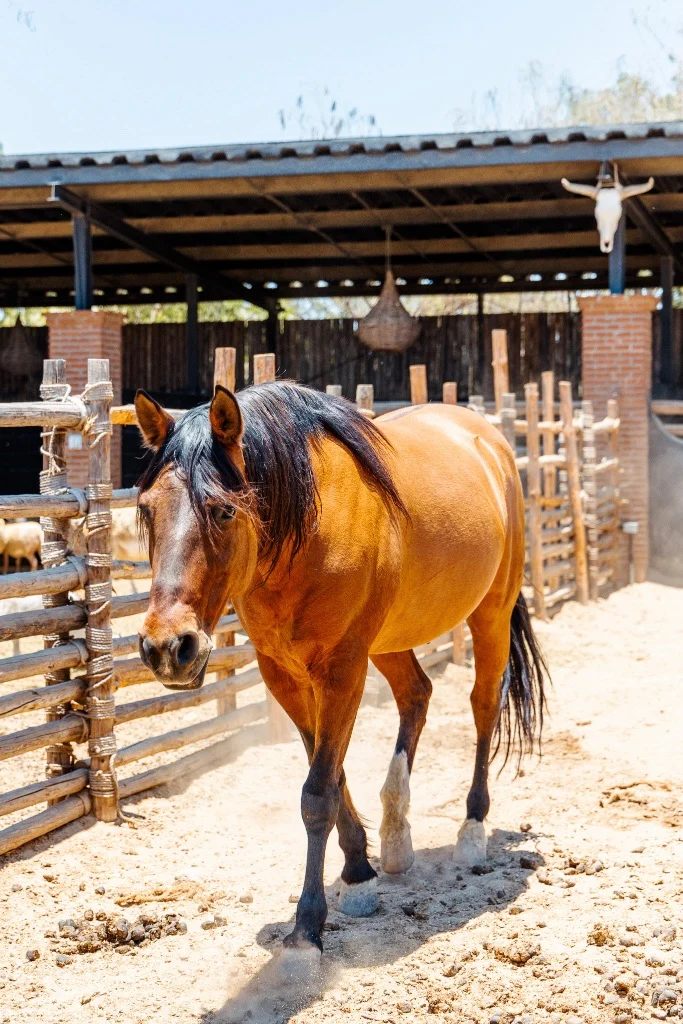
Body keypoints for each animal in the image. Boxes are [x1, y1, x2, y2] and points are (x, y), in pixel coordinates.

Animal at [134, 381, 547, 963]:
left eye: (223, 511)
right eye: (147, 510)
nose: (168, 647)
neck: (306, 533)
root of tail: (490, 439)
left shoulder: (342, 669)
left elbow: (317, 794)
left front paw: (308, 925)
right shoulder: (284, 675)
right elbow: (330, 774)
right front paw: (358, 872)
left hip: (490, 610)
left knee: (484, 703)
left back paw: (472, 830)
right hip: (389, 639)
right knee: (417, 694)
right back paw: (396, 838)